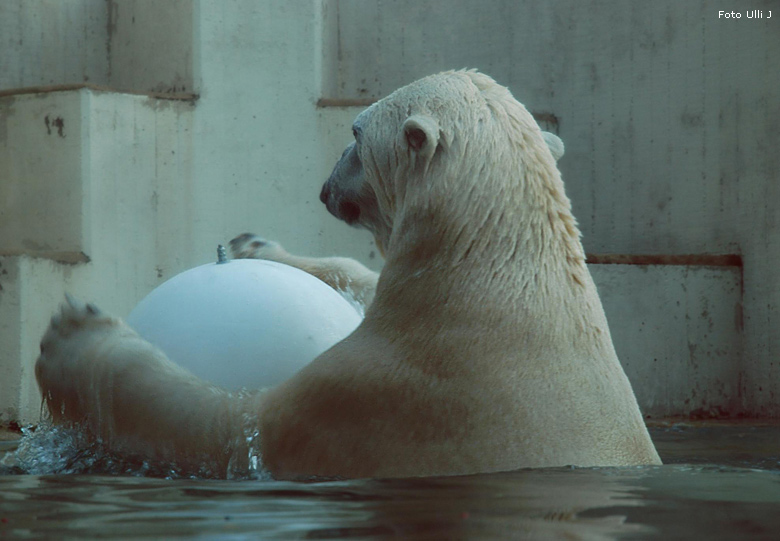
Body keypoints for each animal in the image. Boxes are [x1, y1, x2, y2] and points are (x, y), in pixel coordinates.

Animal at [35, 68, 660, 476]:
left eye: (355, 131)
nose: (329, 176)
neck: (490, 275)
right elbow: (359, 279)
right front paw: (254, 246)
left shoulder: (390, 393)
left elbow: (233, 428)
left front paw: (73, 335)